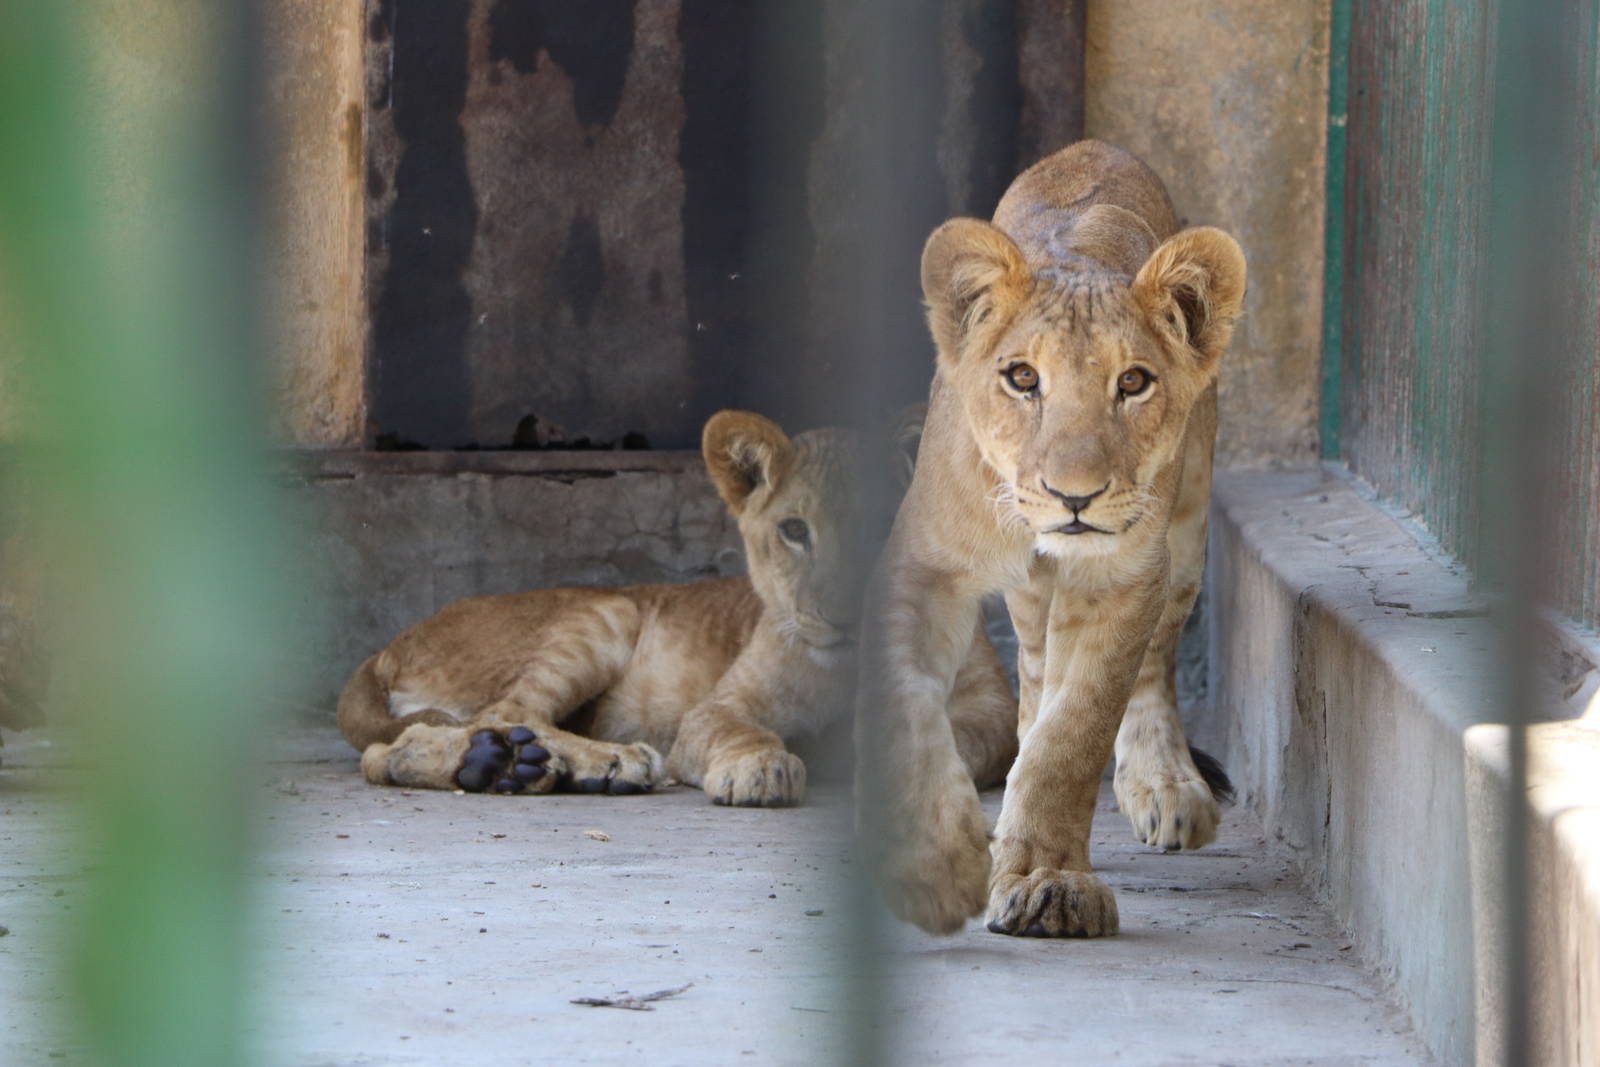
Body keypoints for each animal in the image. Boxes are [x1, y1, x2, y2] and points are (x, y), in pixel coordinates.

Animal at [339, 410, 1017, 806]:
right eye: (795, 531)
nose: (843, 617)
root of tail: (383, 649)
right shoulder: (719, 707)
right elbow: (735, 730)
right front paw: (760, 769)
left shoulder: (994, 712)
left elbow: (968, 737)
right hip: (607, 613)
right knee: (495, 714)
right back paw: (598, 762)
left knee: (391, 751)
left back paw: (506, 767)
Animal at [858, 140, 1245, 937]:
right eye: (1021, 377)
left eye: (1133, 382)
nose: (1076, 496)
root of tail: (1091, 146)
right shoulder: (925, 567)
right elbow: (909, 704)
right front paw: (934, 862)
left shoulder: (1124, 577)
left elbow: (1076, 730)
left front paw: (1047, 879)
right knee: (1034, 674)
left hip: (1187, 532)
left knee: (1151, 666)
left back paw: (1165, 784)